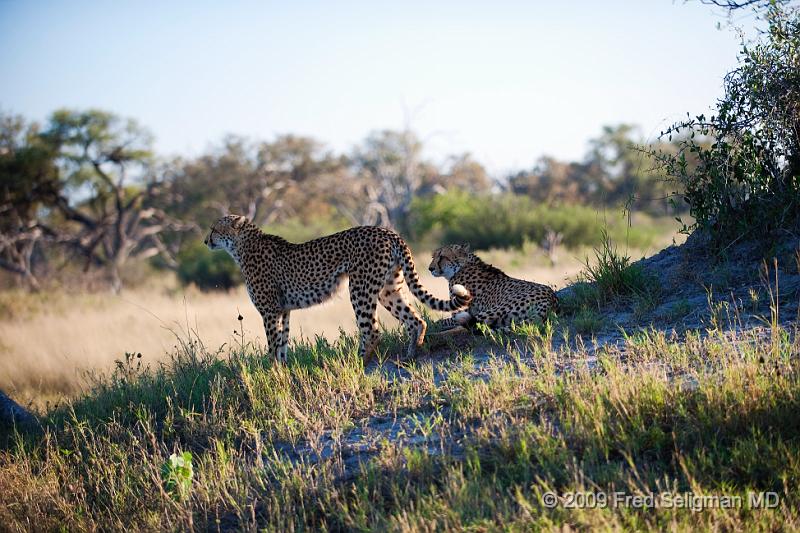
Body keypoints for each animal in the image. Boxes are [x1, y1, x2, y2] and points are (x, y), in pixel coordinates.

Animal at [203, 215, 472, 362]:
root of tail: (386, 230)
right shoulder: (284, 310)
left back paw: (357, 363)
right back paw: (410, 355)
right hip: (388, 289)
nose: (205, 241)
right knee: (416, 320)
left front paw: (272, 376)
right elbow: (282, 345)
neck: (242, 246)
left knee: (372, 330)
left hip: (360, 288)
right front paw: (283, 373)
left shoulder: (270, 311)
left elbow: (272, 346)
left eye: (215, 229)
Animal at [428, 243, 560, 330]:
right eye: (433, 256)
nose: (430, 269)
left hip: (497, 308)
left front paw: (432, 325)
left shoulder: (461, 308)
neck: (462, 266)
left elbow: (443, 321)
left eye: (442, 257)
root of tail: (550, 299)